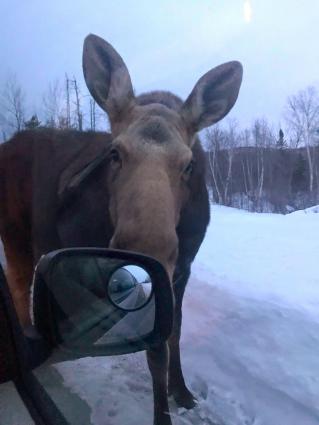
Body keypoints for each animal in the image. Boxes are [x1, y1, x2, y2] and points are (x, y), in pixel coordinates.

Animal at [0, 34, 244, 422]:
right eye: (114, 153)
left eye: (188, 165)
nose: (146, 249)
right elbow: (155, 348)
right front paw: (162, 411)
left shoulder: (182, 268)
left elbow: (174, 333)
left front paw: (182, 391)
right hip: (15, 235)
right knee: (19, 284)